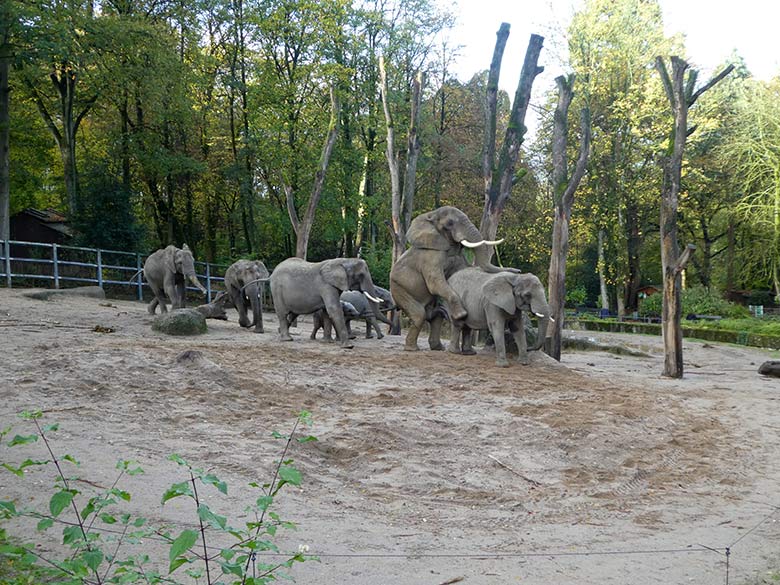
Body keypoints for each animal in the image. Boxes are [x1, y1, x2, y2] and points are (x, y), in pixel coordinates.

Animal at [390, 205, 516, 352]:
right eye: (450, 223)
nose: (518, 270)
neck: (431, 215)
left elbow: (462, 271)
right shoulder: (430, 256)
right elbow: (435, 284)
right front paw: (461, 314)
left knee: (435, 316)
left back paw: (438, 346)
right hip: (399, 289)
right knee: (419, 315)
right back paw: (412, 349)